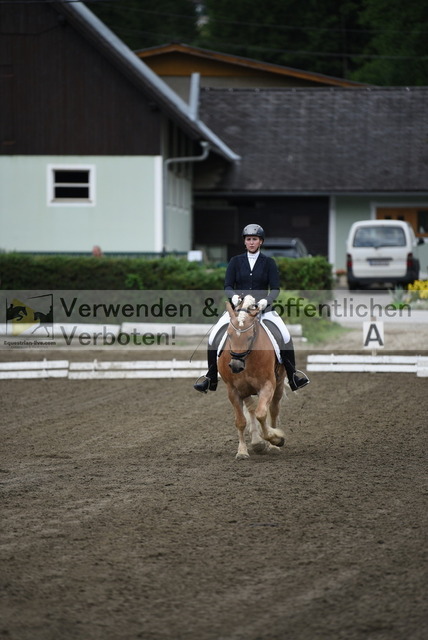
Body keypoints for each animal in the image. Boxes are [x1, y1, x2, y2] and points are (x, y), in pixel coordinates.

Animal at [218, 295, 286, 460]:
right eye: (229, 334)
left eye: (250, 337)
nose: (235, 366)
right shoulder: (233, 390)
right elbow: (241, 421)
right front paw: (242, 451)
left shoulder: (268, 385)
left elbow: (262, 414)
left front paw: (276, 439)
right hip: (246, 390)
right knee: (252, 409)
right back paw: (257, 443)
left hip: (279, 384)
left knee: (273, 410)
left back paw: (272, 445)